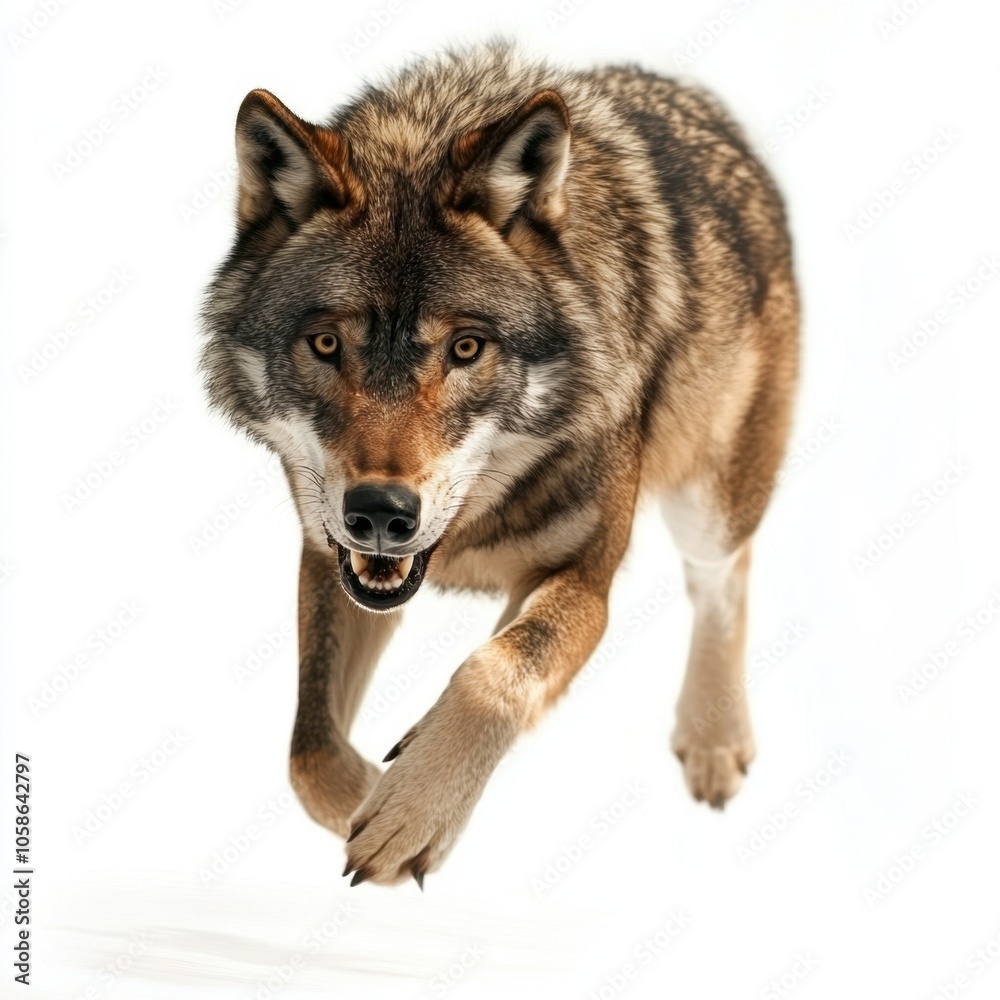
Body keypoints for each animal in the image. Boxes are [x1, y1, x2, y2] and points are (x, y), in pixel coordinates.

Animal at [201, 42, 799, 887]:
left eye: (465, 348)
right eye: (325, 343)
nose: (380, 513)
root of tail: (700, 102)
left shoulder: (584, 577)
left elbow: (495, 672)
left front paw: (412, 811)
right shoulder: (329, 558)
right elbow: (308, 746)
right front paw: (374, 799)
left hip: (709, 501)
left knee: (722, 578)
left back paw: (713, 740)